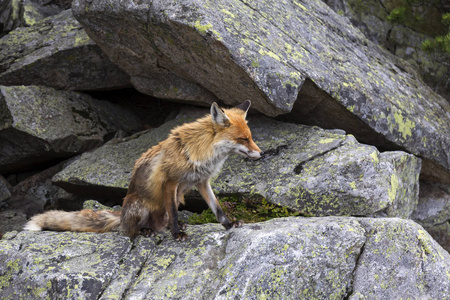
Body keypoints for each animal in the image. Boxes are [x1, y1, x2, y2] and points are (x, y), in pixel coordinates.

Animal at [23, 101, 264, 241]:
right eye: (243, 139)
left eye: (251, 137)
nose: (261, 154)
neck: (202, 151)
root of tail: (121, 215)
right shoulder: (170, 182)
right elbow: (174, 214)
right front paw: (177, 234)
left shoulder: (201, 182)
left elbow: (217, 209)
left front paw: (229, 224)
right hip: (139, 205)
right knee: (129, 230)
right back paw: (145, 231)